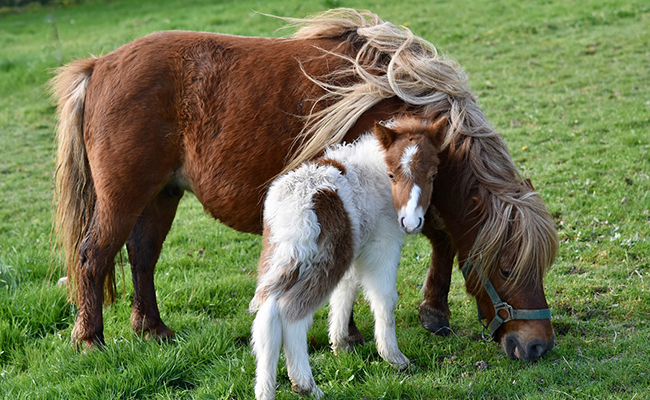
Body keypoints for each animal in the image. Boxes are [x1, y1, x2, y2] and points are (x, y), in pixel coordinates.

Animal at [52, 8, 556, 362]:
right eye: (506, 269)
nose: (538, 346)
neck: (395, 100)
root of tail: (99, 65)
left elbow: (442, 236)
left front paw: (433, 312)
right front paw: (354, 334)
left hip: (161, 196)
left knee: (142, 257)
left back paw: (152, 329)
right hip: (123, 197)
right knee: (93, 256)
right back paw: (91, 340)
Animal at [248, 116, 446, 400]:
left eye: (433, 174)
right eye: (392, 174)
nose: (411, 222)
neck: (373, 177)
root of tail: (297, 206)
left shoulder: (354, 251)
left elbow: (345, 292)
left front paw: (340, 344)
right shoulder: (382, 245)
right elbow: (385, 299)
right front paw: (395, 358)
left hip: (281, 258)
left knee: (268, 315)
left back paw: (266, 390)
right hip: (324, 261)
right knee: (290, 313)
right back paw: (307, 386)